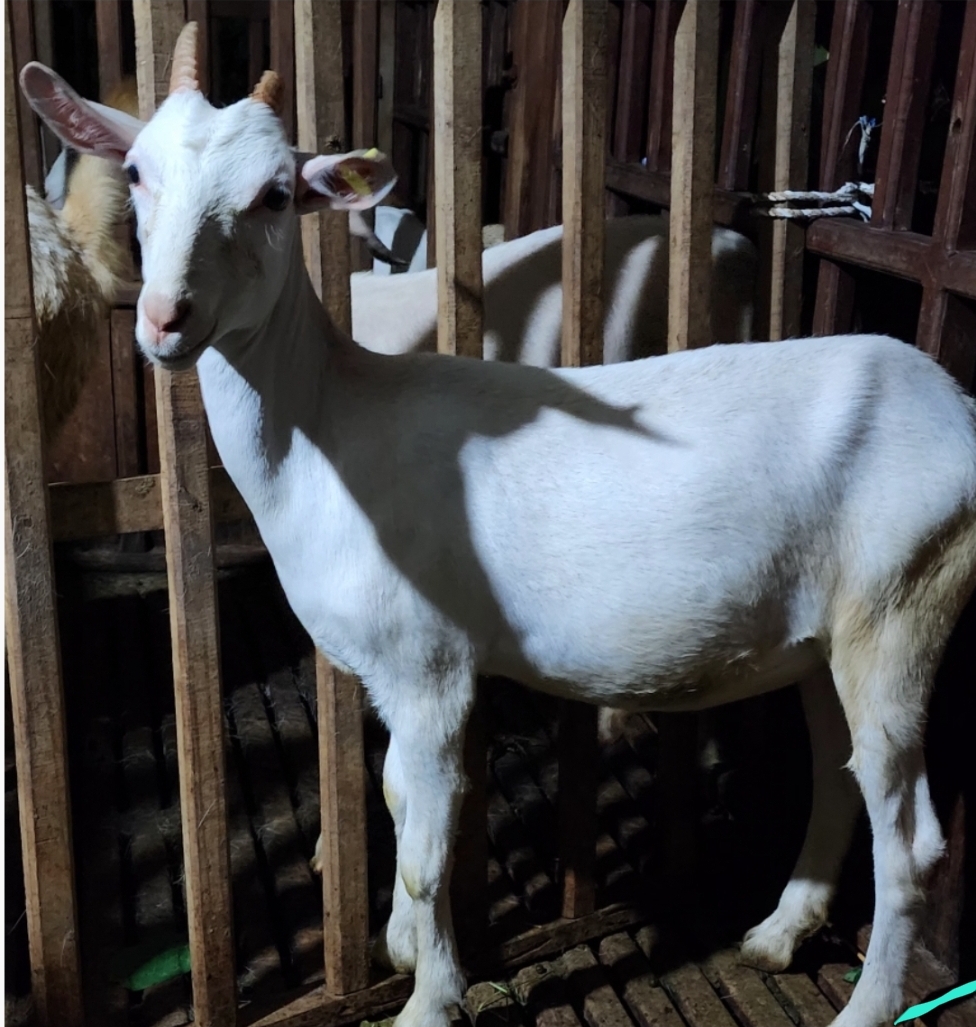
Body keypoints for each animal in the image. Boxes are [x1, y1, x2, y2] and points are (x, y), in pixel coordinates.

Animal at [22, 29, 976, 1027]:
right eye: (136, 171)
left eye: (275, 194)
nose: (167, 318)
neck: (330, 425)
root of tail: (955, 406)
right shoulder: (387, 670)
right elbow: (399, 802)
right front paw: (404, 945)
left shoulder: (431, 662)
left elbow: (426, 842)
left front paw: (428, 996)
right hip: (827, 634)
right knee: (842, 775)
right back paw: (782, 931)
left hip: (902, 600)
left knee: (910, 833)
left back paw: (865, 1004)